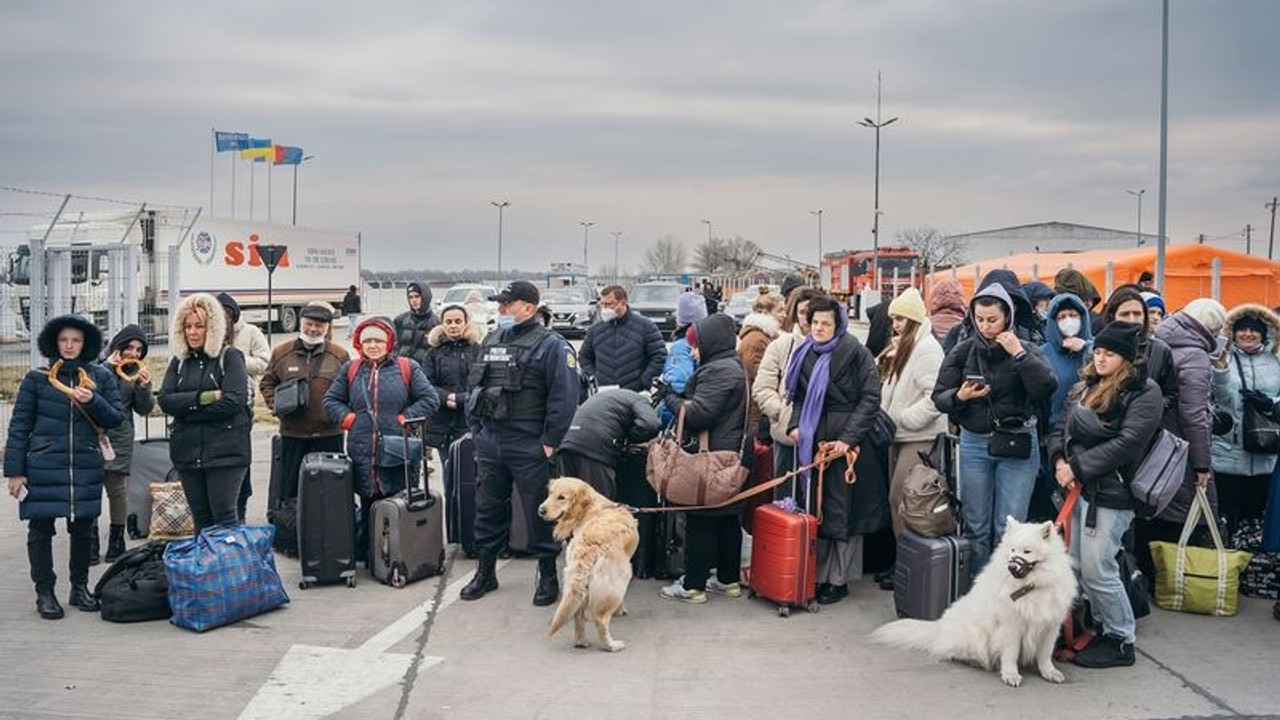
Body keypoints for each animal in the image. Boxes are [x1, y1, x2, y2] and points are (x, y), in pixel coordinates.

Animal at [537, 476, 640, 650]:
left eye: (561, 497)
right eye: (550, 494)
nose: (541, 510)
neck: (593, 507)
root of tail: (589, 545)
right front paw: (621, 610)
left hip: (575, 579)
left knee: (578, 613)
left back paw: (581, 641)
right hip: (621, 576)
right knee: (600, 619)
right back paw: (611, 645)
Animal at [875, 515, 1075, 681]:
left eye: (1027, 552)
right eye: (1012, 550)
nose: (1011, 567)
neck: (1030, 586)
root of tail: (940, 627)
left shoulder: (1050, 625)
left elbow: (1045, 654)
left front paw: (1049, 672)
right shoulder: (1011, 626)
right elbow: (1010, 653)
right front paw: (1010, 675)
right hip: (975, 634)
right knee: (954, 651)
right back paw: (975, 661)